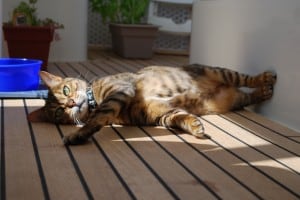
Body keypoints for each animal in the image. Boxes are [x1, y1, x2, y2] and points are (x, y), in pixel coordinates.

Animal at [28, 64, 276, 145]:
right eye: (58, 112)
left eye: (65, 90)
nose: (70, 103)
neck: (93, 98)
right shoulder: (160, 114)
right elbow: (180, 117)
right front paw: (194, 125)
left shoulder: (119, 90)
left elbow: (98, 118)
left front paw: (78, 135)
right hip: (234, 100)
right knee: (251, 96)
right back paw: (263, 91)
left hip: (221, 72)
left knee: (246, 78)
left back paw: (266, 78)